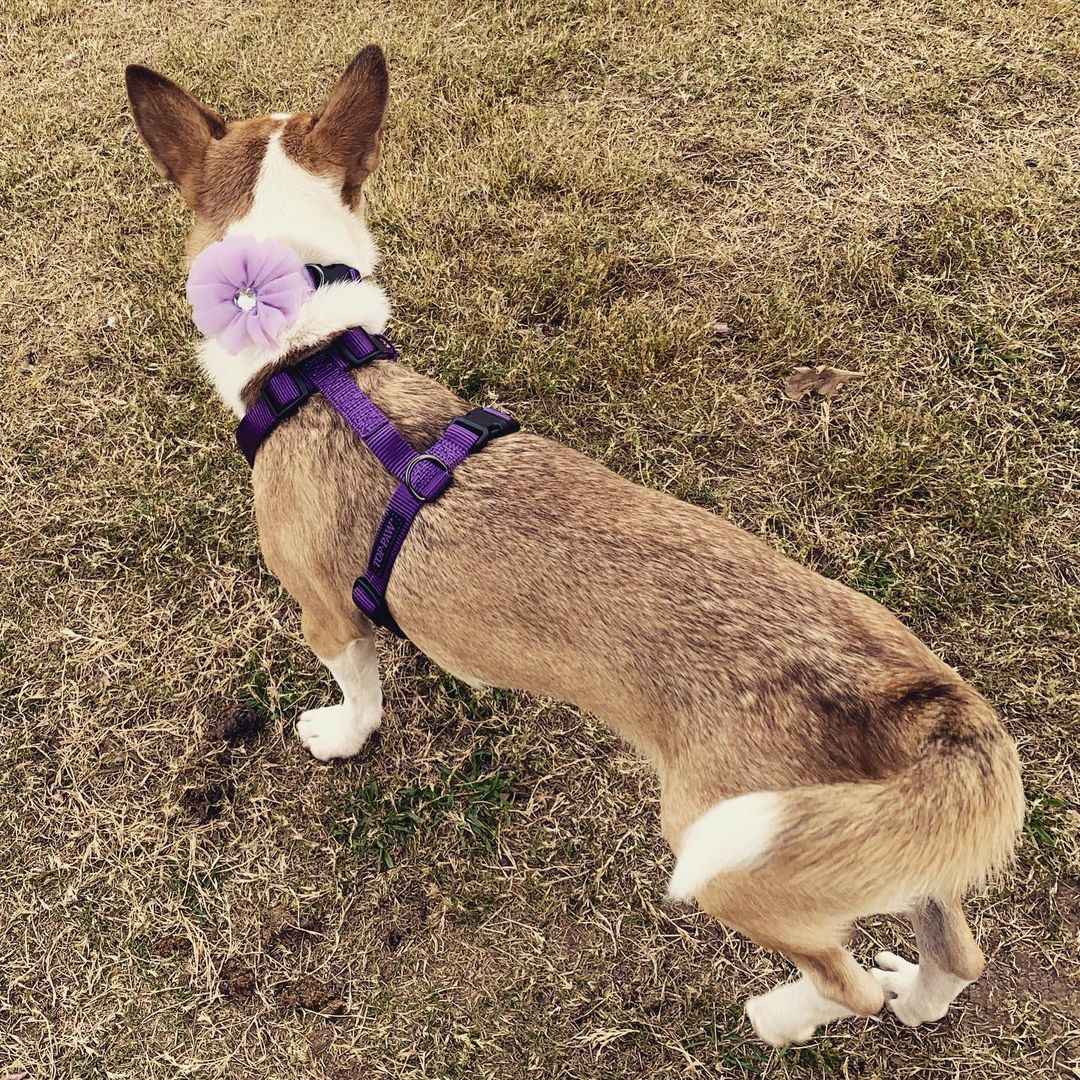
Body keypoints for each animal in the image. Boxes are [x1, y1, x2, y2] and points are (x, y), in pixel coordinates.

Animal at [124, 46, 1019, 1049]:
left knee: (841, 980)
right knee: (957, 949)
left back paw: (783, 1017)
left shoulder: (325, 614)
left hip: (734, 853)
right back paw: (916, 996)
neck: (314, 362)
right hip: (872, 838)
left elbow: (358, 693)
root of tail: (912, 692)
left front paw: (342, 736)